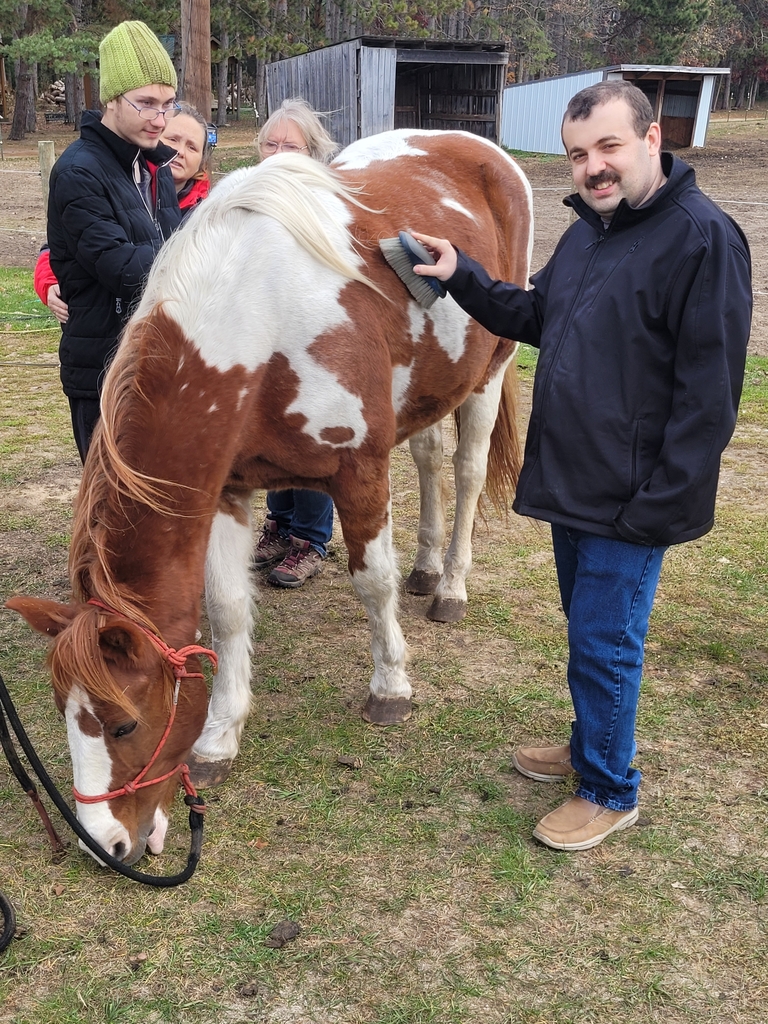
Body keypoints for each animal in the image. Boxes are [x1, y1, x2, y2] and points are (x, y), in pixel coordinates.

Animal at [7, 129, 532, 866]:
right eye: (62, 713)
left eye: (123, 724)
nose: (104, 844)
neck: (256, 324)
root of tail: (476, 147)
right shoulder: (227, 490)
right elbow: (227, 610)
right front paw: (219, 738)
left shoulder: (359, 471)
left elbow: (372, 581)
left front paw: (391, 688)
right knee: (430, 461)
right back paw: (427, 572)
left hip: (489, 373)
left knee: (465, 471)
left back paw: (450, 586)